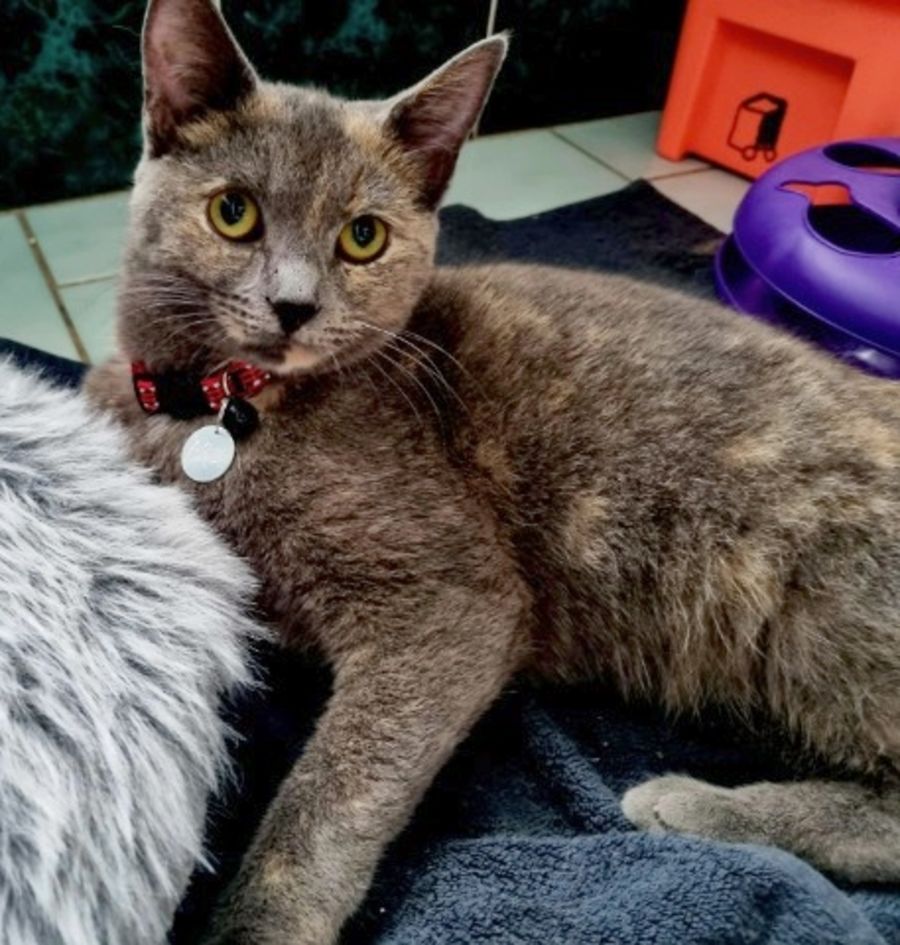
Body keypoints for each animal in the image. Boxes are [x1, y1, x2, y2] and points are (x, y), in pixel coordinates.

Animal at [86, 0, 900, 942]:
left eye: (362, 237)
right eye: (233, 213)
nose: (294, 304)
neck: (216, 411)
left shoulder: (450, 596)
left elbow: (330, 795)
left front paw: (258, 922)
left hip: (817, 599)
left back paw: (693, 806)